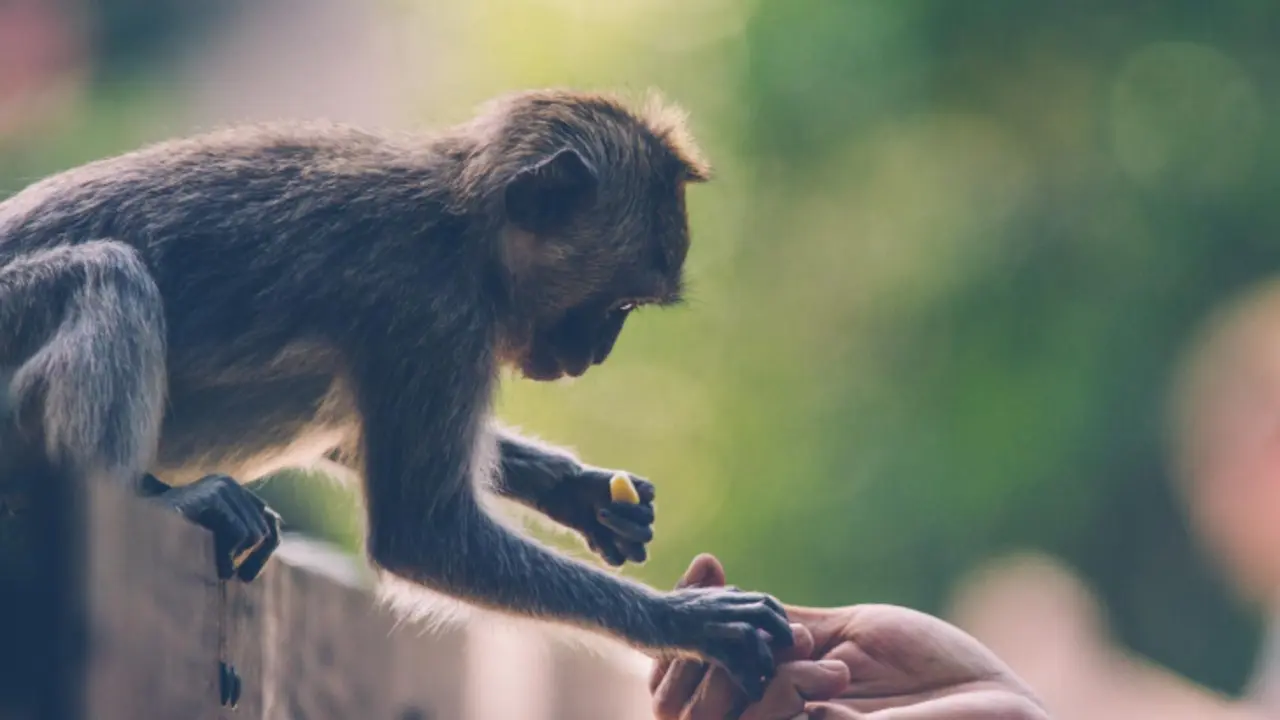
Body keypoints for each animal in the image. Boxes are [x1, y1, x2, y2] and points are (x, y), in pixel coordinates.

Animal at [0, 89, 793, 698]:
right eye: (619, 306)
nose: (596, 353)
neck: (463, 224)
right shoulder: (432, 307)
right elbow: (424, 533)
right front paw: (685, 622)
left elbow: (359, 438)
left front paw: (579, 492)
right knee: (105, 274)